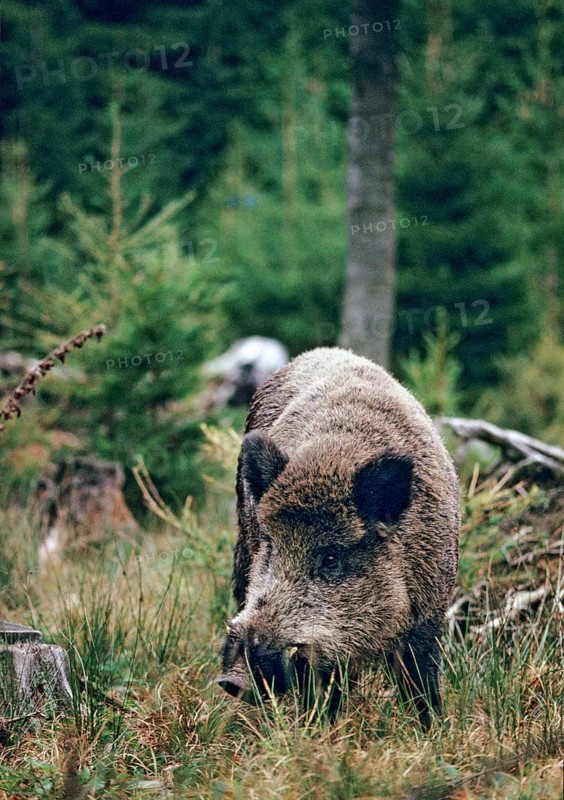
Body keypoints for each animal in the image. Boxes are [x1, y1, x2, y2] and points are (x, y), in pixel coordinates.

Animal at [219, 347, 460, 726]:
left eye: (331, 557)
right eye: (271, 546)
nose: (233, 680)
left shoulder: (430, 612)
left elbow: (421, 683)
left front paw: (431, 730)